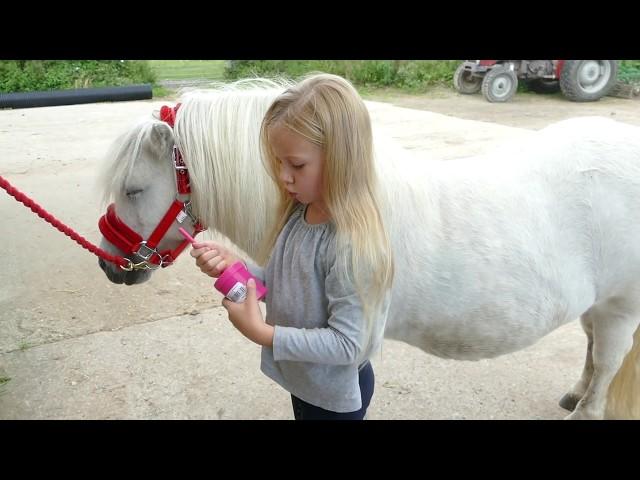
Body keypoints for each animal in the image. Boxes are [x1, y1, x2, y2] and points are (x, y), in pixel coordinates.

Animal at [97, 78, 640, 416]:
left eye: (134, 190)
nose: (111, 264)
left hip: (620, 307)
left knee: (608, 362)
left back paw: (585, 408)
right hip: (595, 303)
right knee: (592, 349)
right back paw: (574, 393)